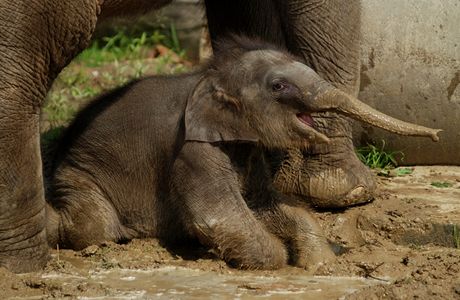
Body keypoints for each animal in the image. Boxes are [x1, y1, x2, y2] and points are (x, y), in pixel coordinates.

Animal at [45, 36, 440, 270]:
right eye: (278, 86)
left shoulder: (249, 150)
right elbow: (222, 217)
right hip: (79, 175)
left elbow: (268, 205)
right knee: (94, 228)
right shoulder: (192, 151)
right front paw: (283, 258)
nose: (437, 134)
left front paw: (320, 264)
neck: (210, 77)